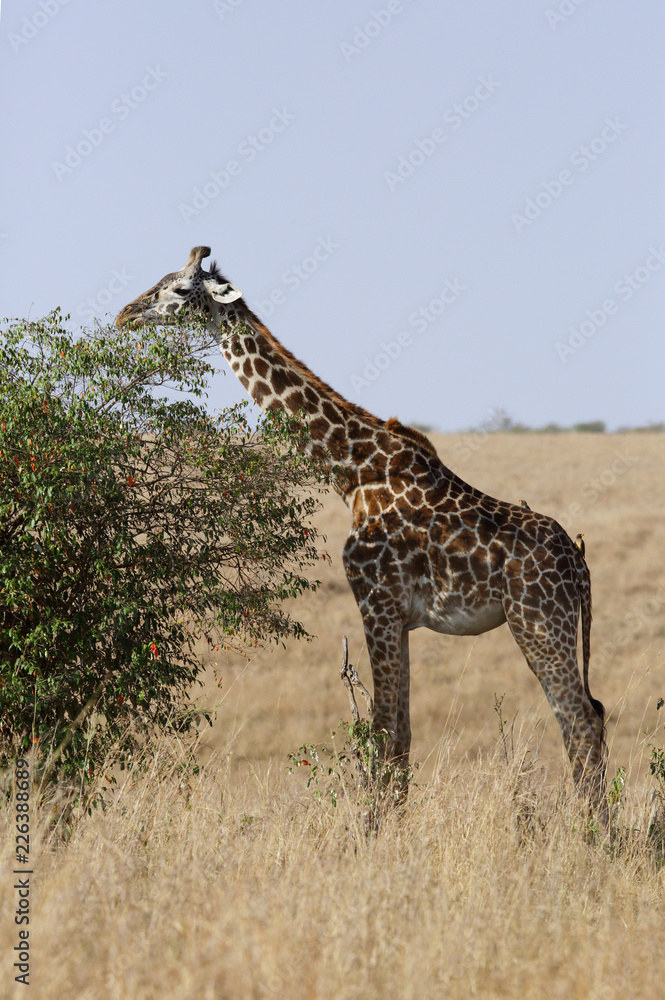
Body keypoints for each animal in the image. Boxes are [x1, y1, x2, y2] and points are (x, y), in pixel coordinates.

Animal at [117, 246, 607, 818]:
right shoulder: (401, 617)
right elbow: (402, 733)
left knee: (579, 721)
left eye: (178, 288)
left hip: (537, 622)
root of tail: (580, 566)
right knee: (592, 714)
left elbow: (382, 732)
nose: (126, 313)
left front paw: (374, 831)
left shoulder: (377, 601)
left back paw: (593, 831)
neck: (350, 471)